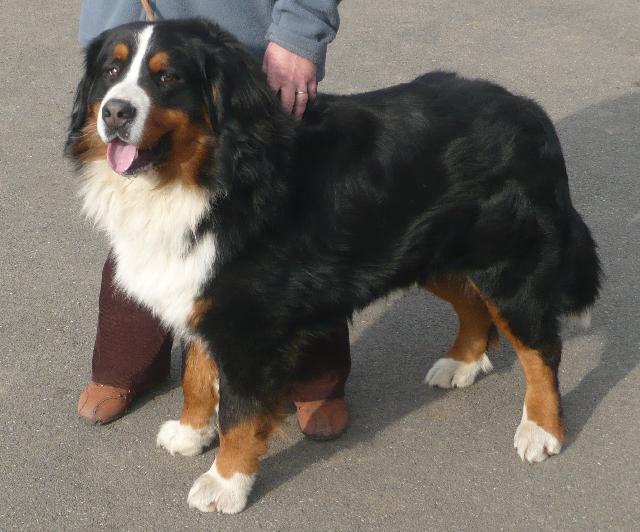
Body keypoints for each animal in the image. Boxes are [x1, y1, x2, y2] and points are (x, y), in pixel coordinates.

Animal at [66, 19, 601, 514]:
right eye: (111, 71)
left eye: (168, 77)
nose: (116, 111)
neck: (208, 175)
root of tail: (528, 109)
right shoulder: (203, 293)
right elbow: (198, 374)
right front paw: (191, 432)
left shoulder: (247, 321)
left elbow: (239, 413)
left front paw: (224, 483)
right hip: (431, 253)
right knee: (473, 308)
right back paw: (461, 364)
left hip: (507, 266)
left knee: (540, 350)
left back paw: (541, 430)